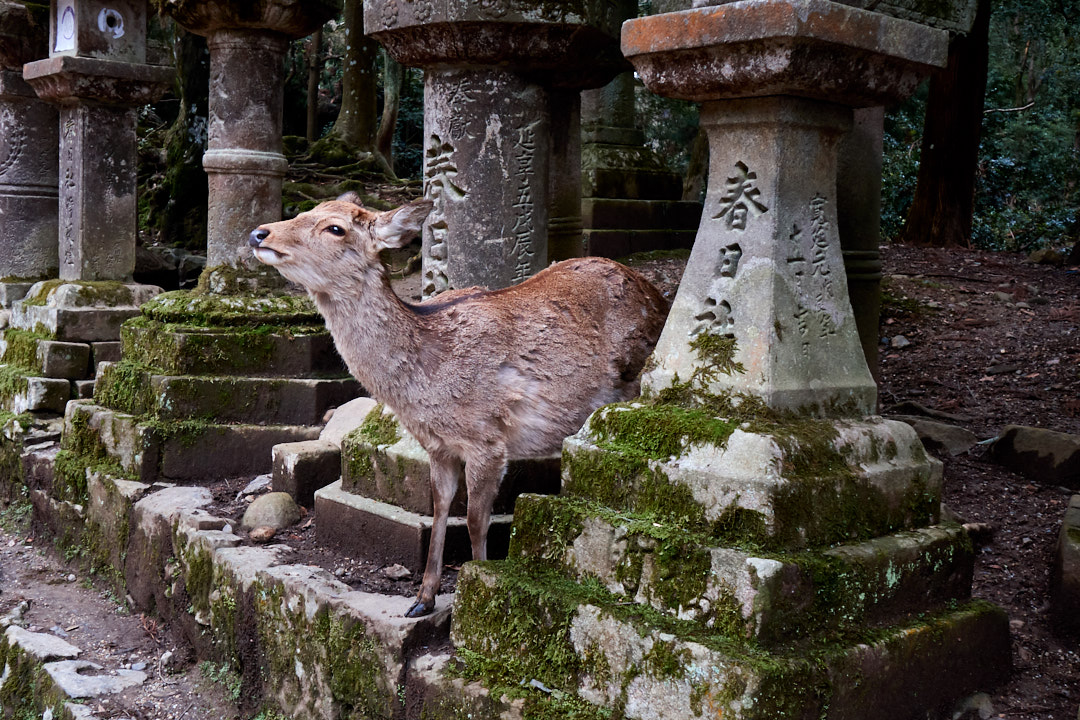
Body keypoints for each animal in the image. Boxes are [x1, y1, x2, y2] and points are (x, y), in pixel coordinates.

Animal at [249, 193, 668, 617]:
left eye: (335, 228)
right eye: (307, 210)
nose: (258, 233)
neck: (421, 391)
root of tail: (658, 296)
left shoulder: (488, 440)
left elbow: (476, 520)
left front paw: (478, 587)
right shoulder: (437, 446)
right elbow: (439, 508)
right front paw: (423, 598)